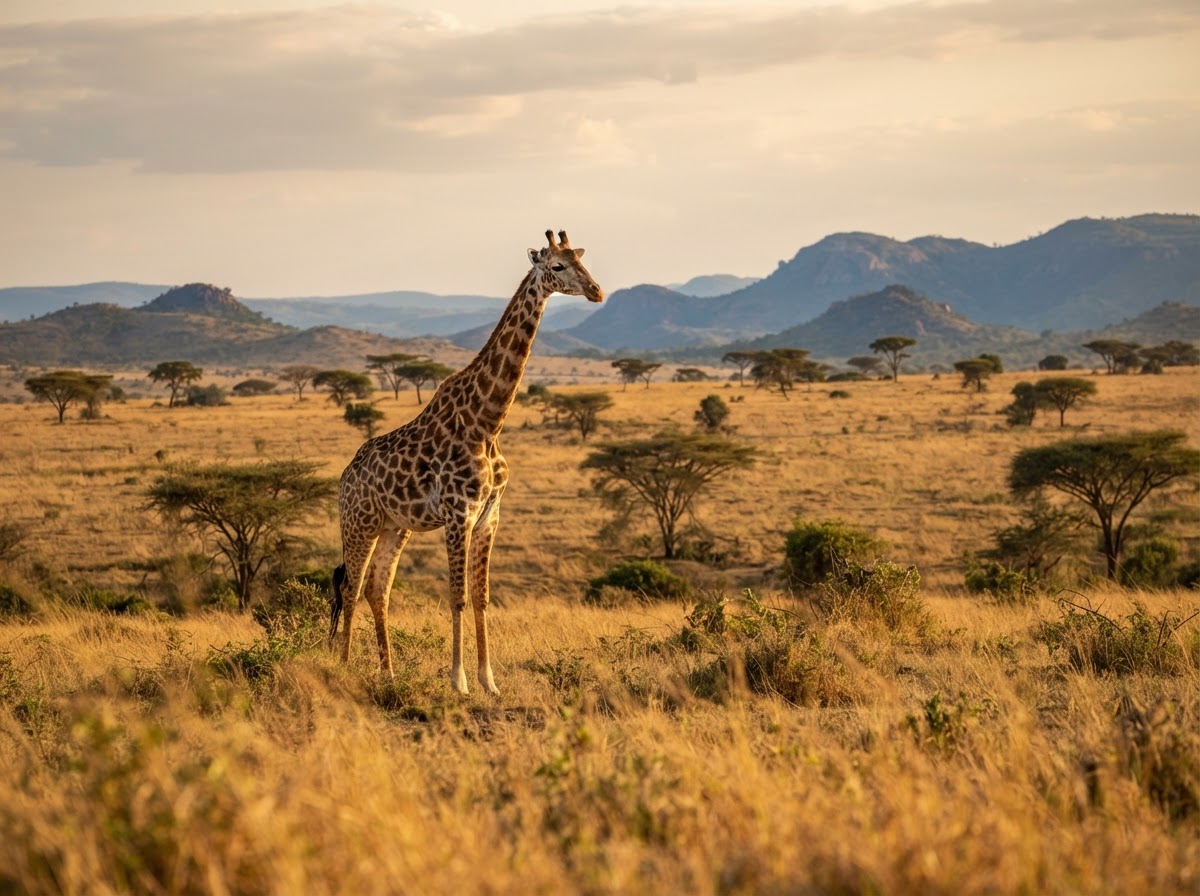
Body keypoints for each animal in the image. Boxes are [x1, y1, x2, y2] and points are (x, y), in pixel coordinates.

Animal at [330, 230, 603, 694]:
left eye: (583, 261)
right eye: (557, 266)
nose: (597, 291)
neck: (487, 422)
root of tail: (345, 478)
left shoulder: (491, 514)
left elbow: (481, 597)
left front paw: (488, 681)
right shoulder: (460, 514)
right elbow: (457, 596)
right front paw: (458, 681)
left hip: (394, 526)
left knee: (376, 589)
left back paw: (389, 673)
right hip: (359, 522)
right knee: (350, 587)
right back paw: (347, 666)